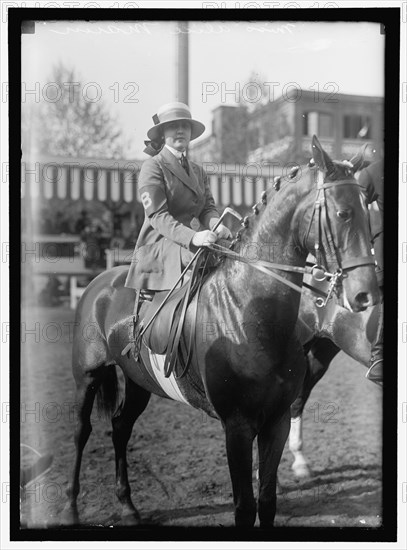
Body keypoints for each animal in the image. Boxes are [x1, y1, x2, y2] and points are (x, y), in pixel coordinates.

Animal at [61, 136, 380, 528]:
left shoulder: (275, 422)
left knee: (121, 427)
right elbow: (244, 507)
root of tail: (100, 280)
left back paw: (127, 505)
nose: (367, 294)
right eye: (343, 214)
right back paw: (71, 507)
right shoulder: (237, 427)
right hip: (88, 377)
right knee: (82, 432)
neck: (250, 312)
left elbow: (267, 501)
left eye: (367, 211)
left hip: (139, 379)